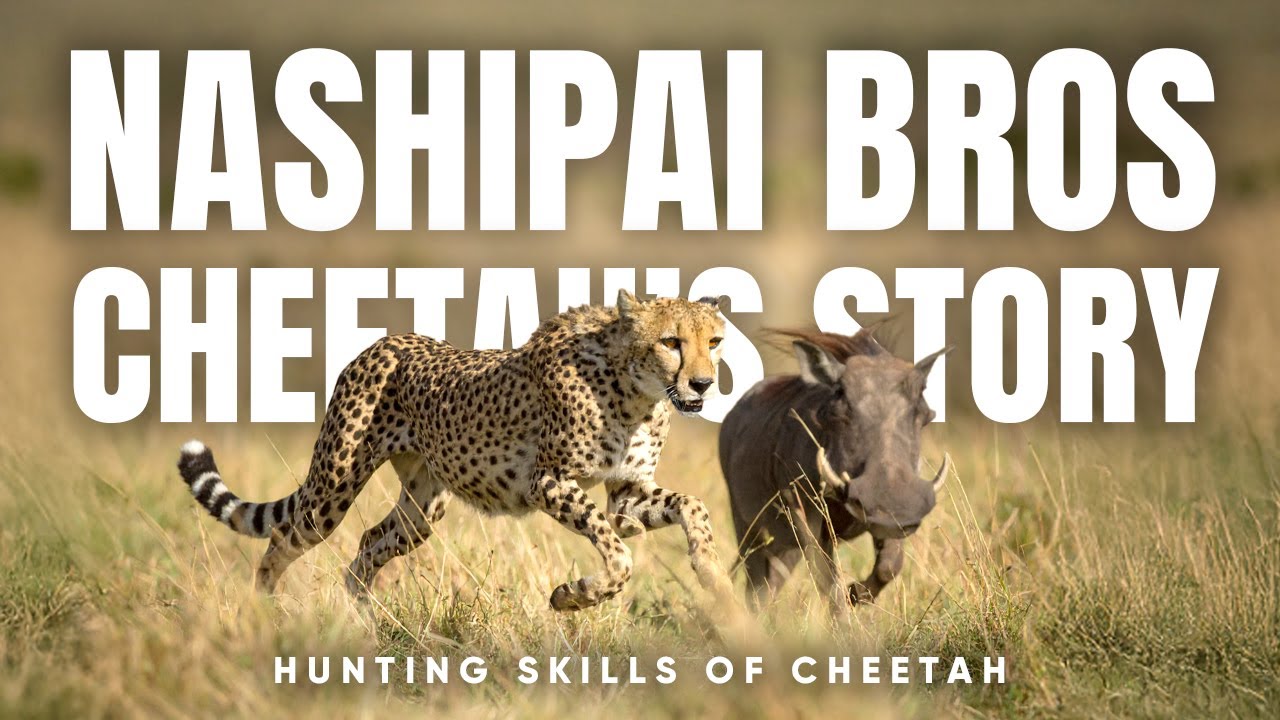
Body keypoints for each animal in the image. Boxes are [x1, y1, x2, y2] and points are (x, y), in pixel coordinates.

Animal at [176, 290, 734, 611]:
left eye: (715, 342)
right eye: (671, 342)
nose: (704, 383)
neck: (636, 390)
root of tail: (382, 342)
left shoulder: (626, 493)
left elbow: (691, 505)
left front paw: (713, 575)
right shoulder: (548, 482)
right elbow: (619, 556)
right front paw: (574, 597)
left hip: (425, 506)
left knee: (368, 544)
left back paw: (363, 620)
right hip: (331, 490)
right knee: (282, 541)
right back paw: (264, 613)